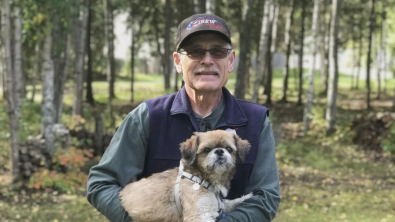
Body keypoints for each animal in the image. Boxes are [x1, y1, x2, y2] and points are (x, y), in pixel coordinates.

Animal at [119, 130, 252, 222]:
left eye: (229, 149)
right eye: (206, 149)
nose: (219, 151)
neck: (203, 178)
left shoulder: (218, 205)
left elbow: (229, 203)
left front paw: (247, 197)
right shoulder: (200, 215)